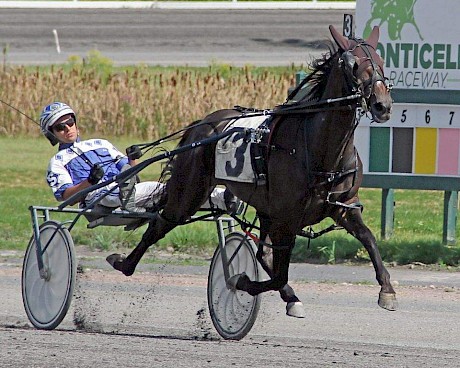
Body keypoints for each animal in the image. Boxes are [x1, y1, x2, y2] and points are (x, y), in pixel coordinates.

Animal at [106, 24, 398, 314]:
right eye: (353, 64)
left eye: (382, 61)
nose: (382, 105)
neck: (320, 150)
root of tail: (202, 124)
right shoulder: (286, 218)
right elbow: (279, 273)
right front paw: (242, 281)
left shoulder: (343, 207)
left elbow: (369, 239)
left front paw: (387, 290)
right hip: (190, 192)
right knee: (162, 222)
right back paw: (123, 263)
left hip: (263, 207)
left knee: (261, 253)